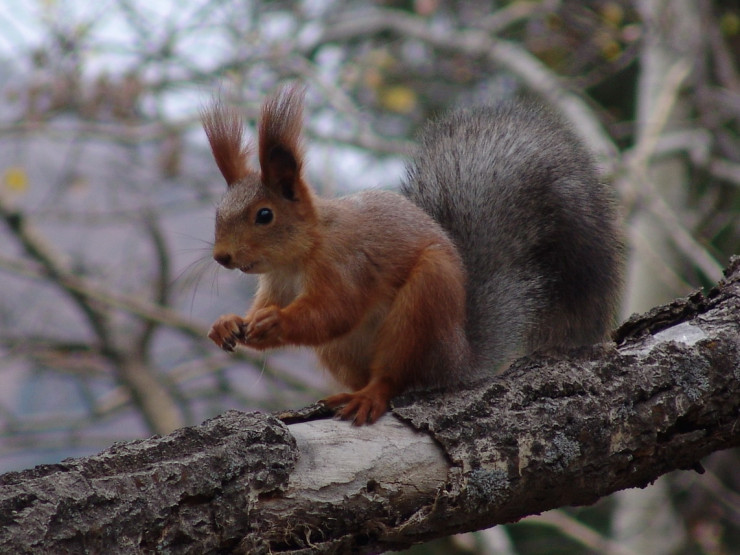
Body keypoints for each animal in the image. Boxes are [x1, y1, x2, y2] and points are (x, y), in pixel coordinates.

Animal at [201, 85, 624, 425]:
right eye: (218, 212)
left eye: (264, 215)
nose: (222, 257)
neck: (298, 256)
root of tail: (459, 360)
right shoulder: (275, 283)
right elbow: (265, 309)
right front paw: (230, 324)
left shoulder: (346, 263)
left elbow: (335, 311)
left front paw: (276, 322)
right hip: (344, 351)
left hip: (422, 309)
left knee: (394, 378)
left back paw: (370, 396)